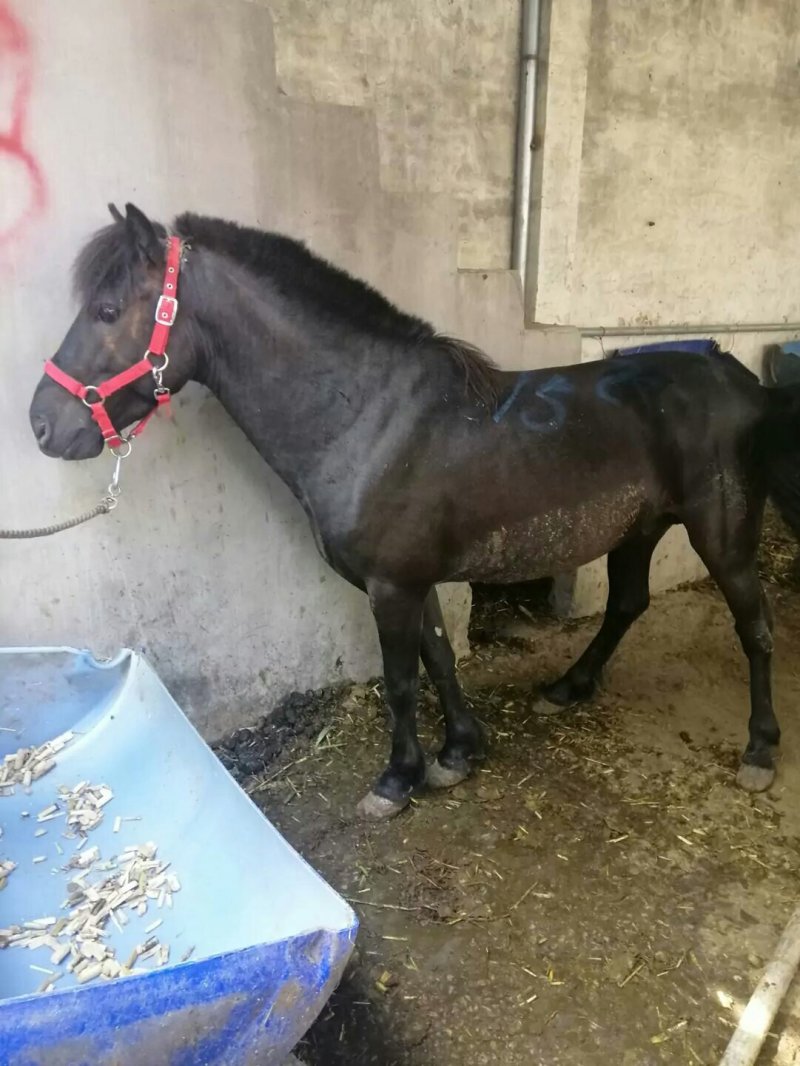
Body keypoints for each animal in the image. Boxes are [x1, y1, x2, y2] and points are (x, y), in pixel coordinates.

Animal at [28, 203, 800, 819]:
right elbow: (439, 656)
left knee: (755, 629)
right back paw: (569, 686)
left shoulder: (391, 585)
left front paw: (397, 780)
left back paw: (759, 751)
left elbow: (401, 681)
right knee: (627, 605)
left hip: (721, 534)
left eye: (106, 311)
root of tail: (743, 381)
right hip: (640, 527)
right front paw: (459, 753)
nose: (42, 424)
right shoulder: (410, 580)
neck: (367, 417)